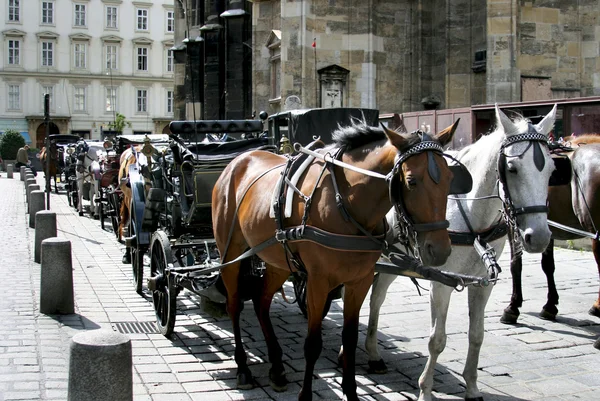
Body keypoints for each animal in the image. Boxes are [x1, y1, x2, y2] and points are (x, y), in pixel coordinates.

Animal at [212, 120, 460, 398]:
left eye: (450, 178)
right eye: (411, 181)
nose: (440, 250)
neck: (347, 203)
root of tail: (237, 160)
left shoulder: (359, 281)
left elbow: (350, 339)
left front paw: (351, 392)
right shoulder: (318, 282)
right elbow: (312, 343)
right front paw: (306, 395)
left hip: (279, 260)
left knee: (261, 301)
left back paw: (277, 367)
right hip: (231, 253)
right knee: (234, 304)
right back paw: (243, 368)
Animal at [366, 104, 556, 400]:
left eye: (552, 169)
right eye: (512, 168)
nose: (539, 237)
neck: (471, 214)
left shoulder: (483, 283)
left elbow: (476, 334)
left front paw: (472, 386)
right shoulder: (441, 282)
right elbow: (437, 339)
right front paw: (425, 389)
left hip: (392, 259)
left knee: (376, 298)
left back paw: (373, 353)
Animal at [502, 134, 600, 338]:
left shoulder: (513, 222)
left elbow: (515, 264)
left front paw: (512, 307)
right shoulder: (545, 228)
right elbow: (548, 266)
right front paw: (550, 305)